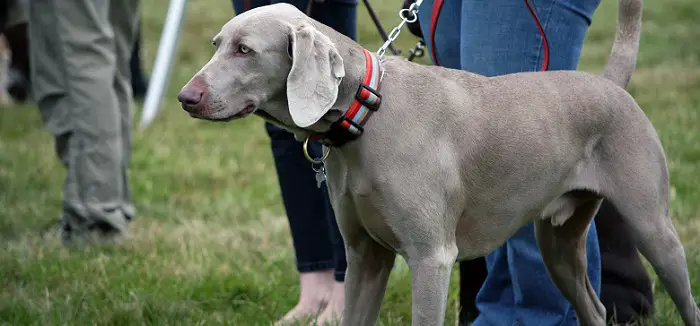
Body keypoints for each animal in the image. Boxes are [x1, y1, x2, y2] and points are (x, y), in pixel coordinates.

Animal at [179, 1, 700, 324]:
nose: (185, 97)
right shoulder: (365, 257)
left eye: (245, 50)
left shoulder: (432, 258)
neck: (367, 115)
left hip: (653, 228)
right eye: (216, 45)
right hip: (558, 243)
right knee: (593, 308)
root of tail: (608, 84)